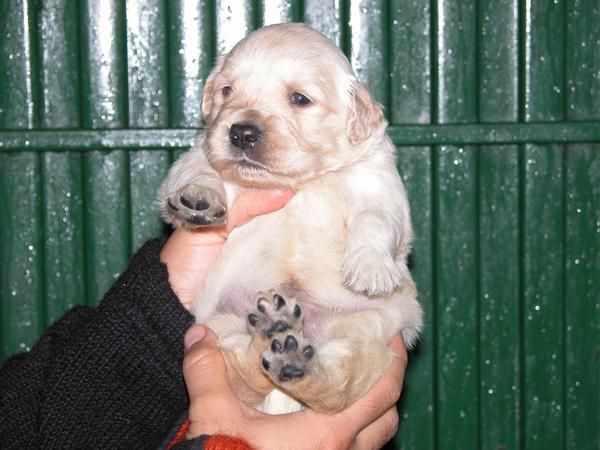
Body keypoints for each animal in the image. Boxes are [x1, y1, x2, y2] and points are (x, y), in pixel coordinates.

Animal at [157, 22, 424, 414]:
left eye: (300, 99)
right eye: (227, 90)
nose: (241, 133)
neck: (302, 181)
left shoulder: (379, 184)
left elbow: (376, 220)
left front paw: (371, 269)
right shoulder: (198, 156)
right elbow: (198, 170)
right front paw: (199, 198)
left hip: (364, 330)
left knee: (336, 386)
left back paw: (292, 356)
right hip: (217, 328)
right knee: (245, 371)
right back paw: (273, 330)